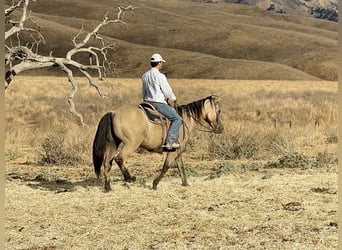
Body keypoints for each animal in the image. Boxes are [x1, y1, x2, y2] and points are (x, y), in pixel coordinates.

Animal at [92, 94, 223, 190]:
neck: (183, 121)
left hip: (113, 144)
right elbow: (166, 166)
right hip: (131, 144)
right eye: (219, 111)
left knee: (107, 163)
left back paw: (108, 187)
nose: (221, 128)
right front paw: (155, 183)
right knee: (119, 158)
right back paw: (130, 177)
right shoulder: (173, 151)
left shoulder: (178, 150)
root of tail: (113, 113)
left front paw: (185, 183)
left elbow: (181, 166)